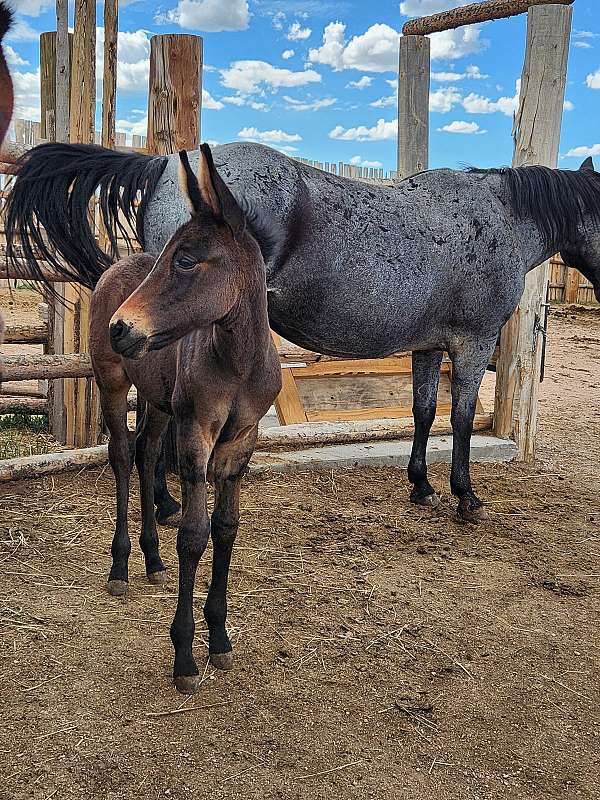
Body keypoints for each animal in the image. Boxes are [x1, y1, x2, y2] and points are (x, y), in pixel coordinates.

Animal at [4, 138, 600, 520]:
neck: (499, 216)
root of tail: (162, 165)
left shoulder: (430, 347)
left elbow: (425, 412)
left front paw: (421, 484)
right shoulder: (473, 342)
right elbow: (461, 418)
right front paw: (464, 495)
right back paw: (169, 503)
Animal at [90, 145, 282, 692]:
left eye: (185, 260)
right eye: (169, 255)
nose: (121, 328)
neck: (238, 363)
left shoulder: (241, 440)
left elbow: (226, 528)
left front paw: (219, 638)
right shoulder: (197, 432)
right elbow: (194, 534)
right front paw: (185, 654)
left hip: (158, 403)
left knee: (146, 450)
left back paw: (152, 558)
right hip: (113, 385)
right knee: (121, 457)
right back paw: (120, 567)